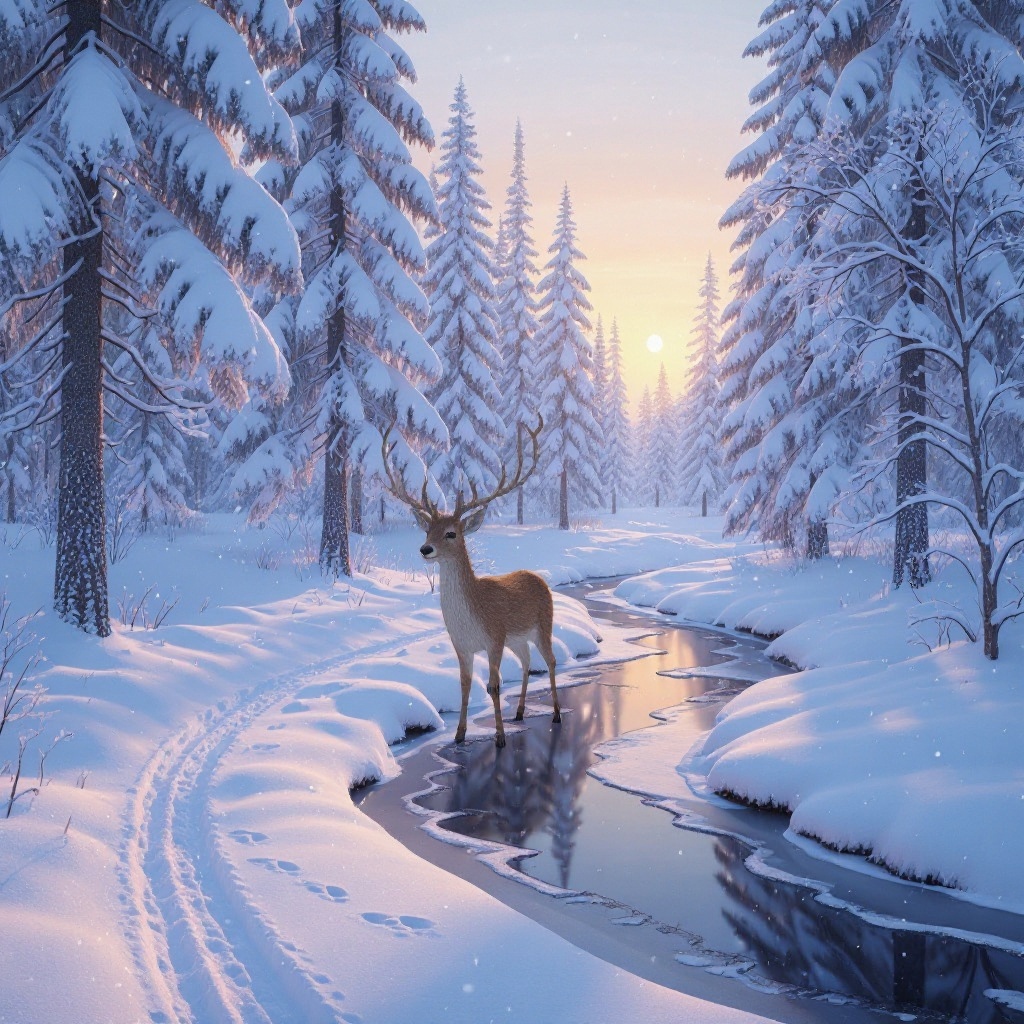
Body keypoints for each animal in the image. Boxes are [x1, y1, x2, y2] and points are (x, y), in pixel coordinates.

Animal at [382, 418, 559, 748]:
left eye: (451, 533)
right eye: (427, 530)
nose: (425, 549)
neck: (471, 618)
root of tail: (537, 576)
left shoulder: (494, 638)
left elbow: (493, 686)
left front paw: (500, 738)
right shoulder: (461, 646)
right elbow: (465, 686)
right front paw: (459, 734)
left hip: (543, 624)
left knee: (551, 660)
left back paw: (555, 713)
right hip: (517, 639)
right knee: (528, 663)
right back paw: (519, 713)